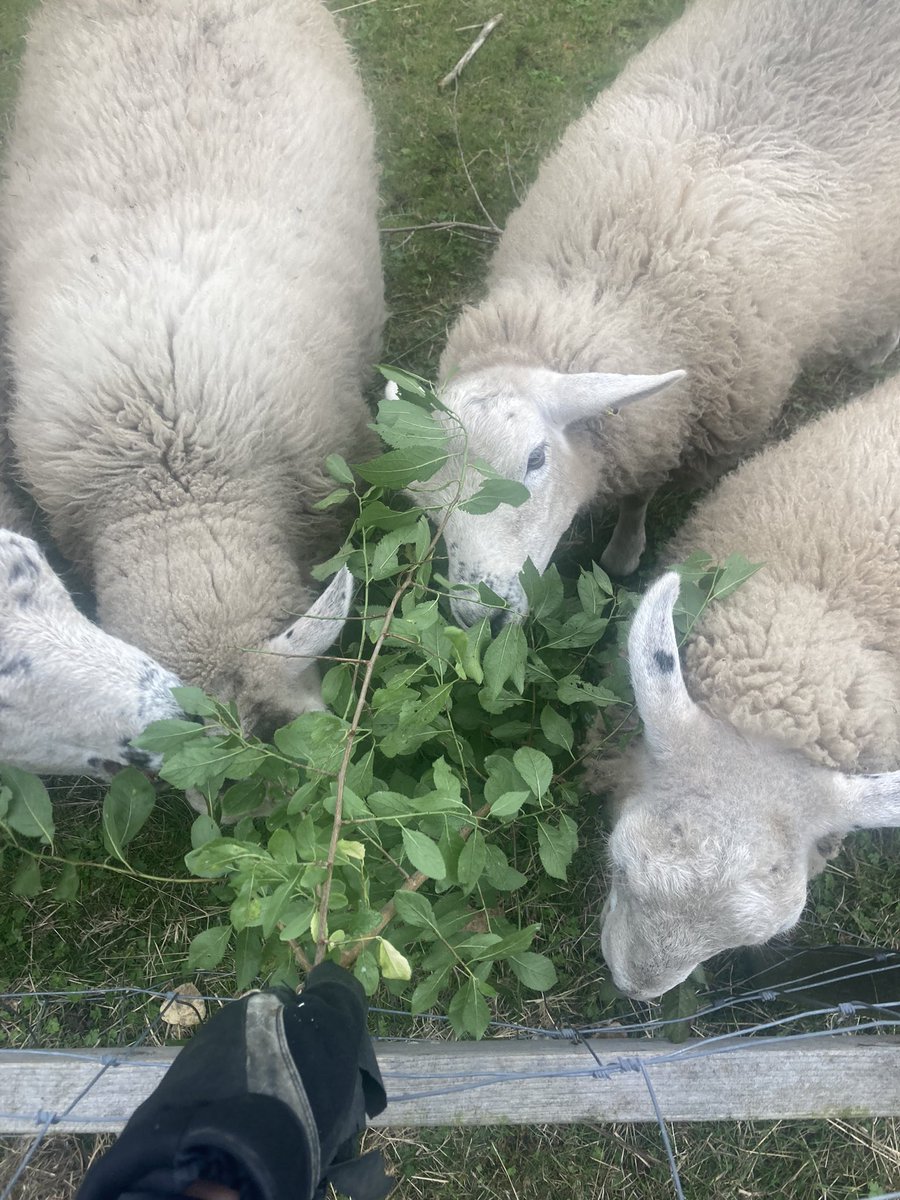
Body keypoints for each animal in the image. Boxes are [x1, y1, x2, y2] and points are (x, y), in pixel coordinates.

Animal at [409, 0, 900, 627]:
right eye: (425, 500)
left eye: (536, 458)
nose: (481, 614)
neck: (612, 284)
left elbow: (640, 493)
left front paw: (623, 551)